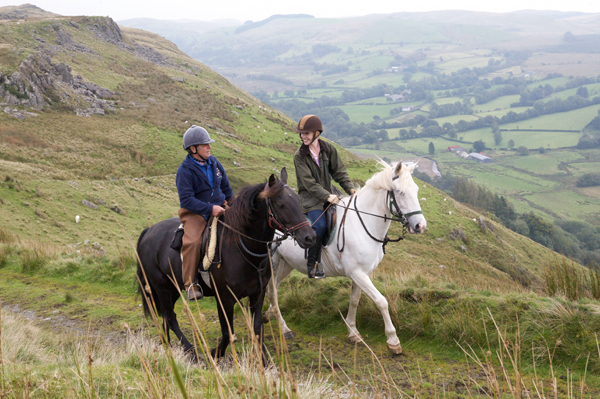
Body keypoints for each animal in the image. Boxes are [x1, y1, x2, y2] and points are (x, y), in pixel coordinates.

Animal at [135, 170, 314, 364]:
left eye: (297, 201)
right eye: (281, 204)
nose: (310, 237)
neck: (241, 247)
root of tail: (149, 231)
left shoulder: (257, 294)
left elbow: (257, 329)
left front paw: (264, 361)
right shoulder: (224, 298)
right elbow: (228, 333)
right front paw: (215, 353)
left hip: (173, 288)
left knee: (166, 318)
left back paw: (167, 345)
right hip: (162, 288)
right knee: (170, 317)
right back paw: (190, 349)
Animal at [264, 161, 426, 354]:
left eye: (416, 190)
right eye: (400, 192)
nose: (420, 226)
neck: (363, 223)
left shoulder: (362, 273)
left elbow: (355, 300)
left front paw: (353, 332)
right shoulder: (357, 273)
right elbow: (381, 301)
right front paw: (393, 340)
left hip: (286, 264)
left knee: (274, 289)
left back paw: (269, 314)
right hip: (273, 261)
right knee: (272, 290)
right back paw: (284, 328)